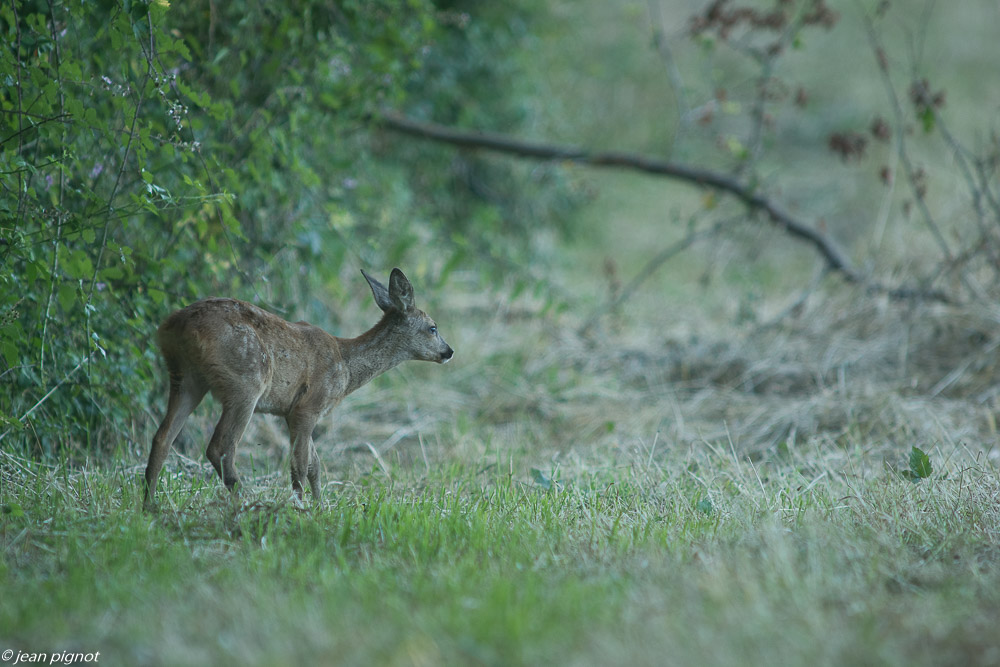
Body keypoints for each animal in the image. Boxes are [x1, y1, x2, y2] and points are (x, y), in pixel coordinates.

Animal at [141, 268, 454, 508]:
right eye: (433, 327)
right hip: (246, 380)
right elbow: (301, 466)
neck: (346, 366)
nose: (449, 352)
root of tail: (175, 325)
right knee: (220, 446)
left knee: (162, 437)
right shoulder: (309, 405)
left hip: (185, 377)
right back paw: (246, 502)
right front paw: (302, 508)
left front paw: (320, 507)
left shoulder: (293, 412)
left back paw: (149, 506)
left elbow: (315, 464)